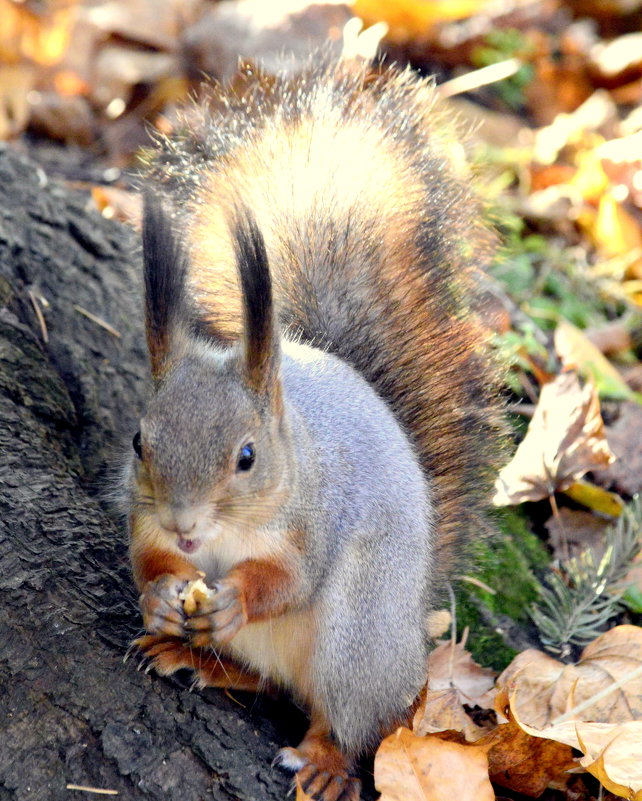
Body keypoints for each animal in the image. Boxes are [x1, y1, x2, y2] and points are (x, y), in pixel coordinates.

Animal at [122, 56, 502, 800]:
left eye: (247, 455)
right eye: (138, 441)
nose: (185, 525)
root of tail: (411, 638)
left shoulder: (312, 521)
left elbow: (291, 579)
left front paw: (236, 597)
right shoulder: (145, 515)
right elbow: (145, 556)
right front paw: (159, 597)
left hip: (356, 636)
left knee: (347, 720)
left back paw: (326, 761)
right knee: (267, 683)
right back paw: (193, 654)